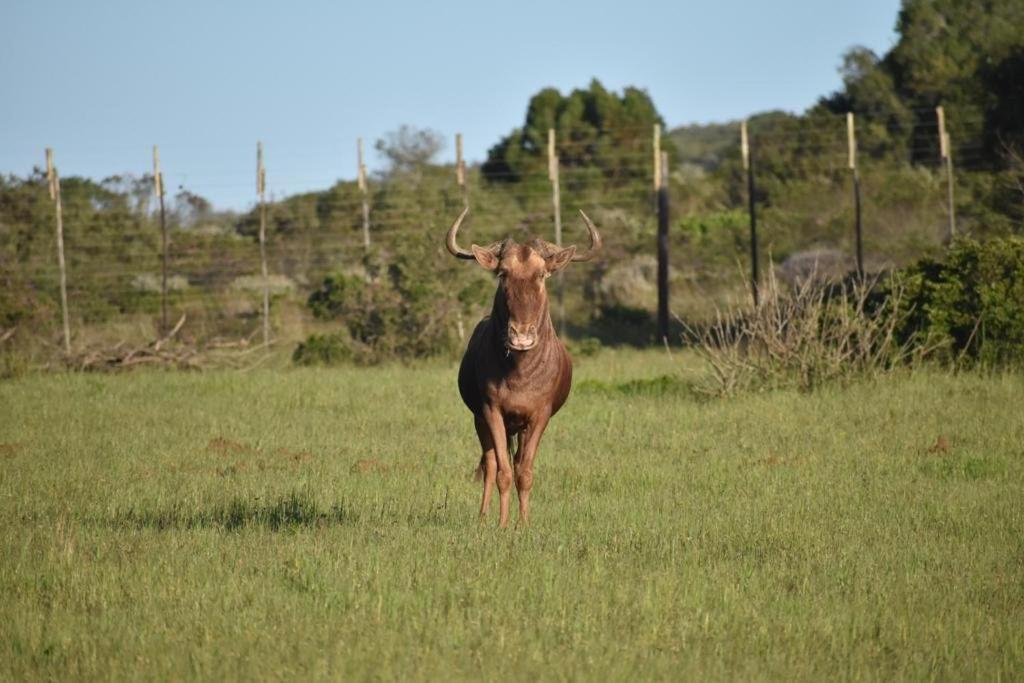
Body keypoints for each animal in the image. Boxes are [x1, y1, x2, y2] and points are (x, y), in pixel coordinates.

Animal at [446, 208, 602, 528]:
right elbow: (503, 472)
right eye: (502, 273)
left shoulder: (539, 416)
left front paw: (524, 524)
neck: (519, 373)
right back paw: (483, 516)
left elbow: (525, 472)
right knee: (490, 463)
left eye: (542, 274)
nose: (521, 337)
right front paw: (503, 524)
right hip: (483, 421)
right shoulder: (491, 411)